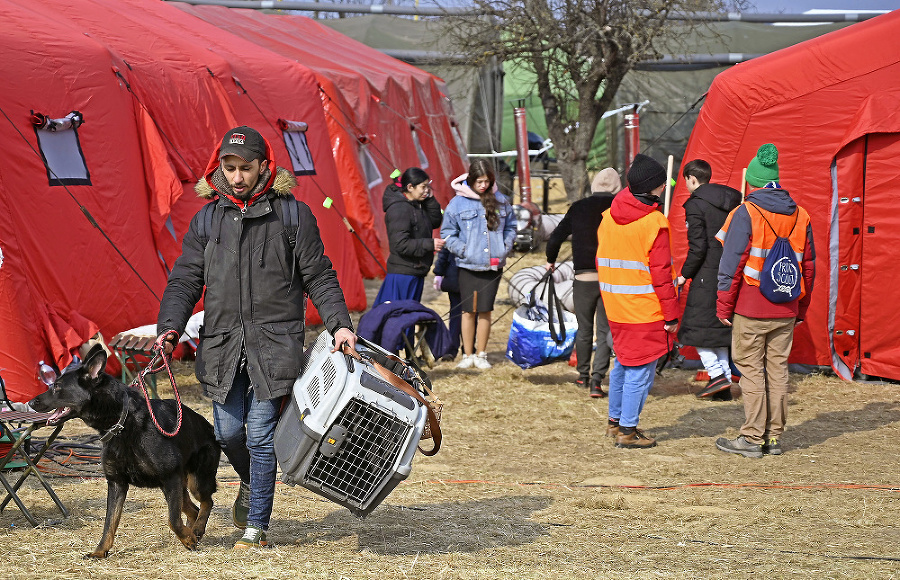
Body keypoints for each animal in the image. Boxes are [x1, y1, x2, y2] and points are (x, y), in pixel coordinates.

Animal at [29, 344, 220, 556]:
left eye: (57, 386)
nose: (30, 402)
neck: (122, 421)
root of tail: (210, 427)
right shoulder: (117, 483)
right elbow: (109, 523)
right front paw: (100, 551)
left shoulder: (170, 478)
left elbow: (173, 520)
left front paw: (187, 536)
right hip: (176, 486)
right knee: (192, 509)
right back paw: (194, 532)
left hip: (193, 482)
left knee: (206, 502)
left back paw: (197, 530)